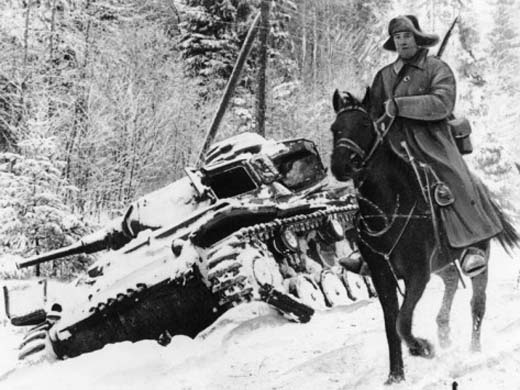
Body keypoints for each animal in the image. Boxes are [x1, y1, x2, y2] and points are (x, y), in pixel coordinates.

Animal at [332, 90, 516, 384]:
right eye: (335, 128)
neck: (389, 211)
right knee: (451, 280)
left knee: (477, 303)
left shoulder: (417, 274)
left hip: (478, 254)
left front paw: (421, 347)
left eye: (364, 124)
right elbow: (391, 325)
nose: (340, 164)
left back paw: (474, 352)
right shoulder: (383, 278)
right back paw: (443, 332)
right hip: (439, 263)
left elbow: (402, 320)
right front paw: (396, 375)